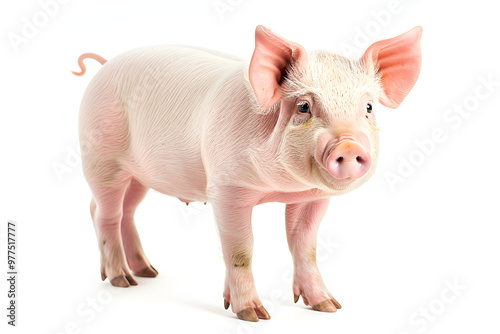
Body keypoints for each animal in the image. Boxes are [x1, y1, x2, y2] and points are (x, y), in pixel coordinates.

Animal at [73, 24, 422, 322]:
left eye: (368, 108)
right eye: (304, 106)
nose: (348, 145)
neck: (280, 187)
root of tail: (105, 64)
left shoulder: (312, 197)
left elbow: (304, 245)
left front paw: (328, 307)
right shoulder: (226, 189)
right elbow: (241, 249)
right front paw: (253, 315)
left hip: (139, 175)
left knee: (123, 211)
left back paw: (148, 272)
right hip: (101, 158)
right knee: (105, 212)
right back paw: (122, 281)